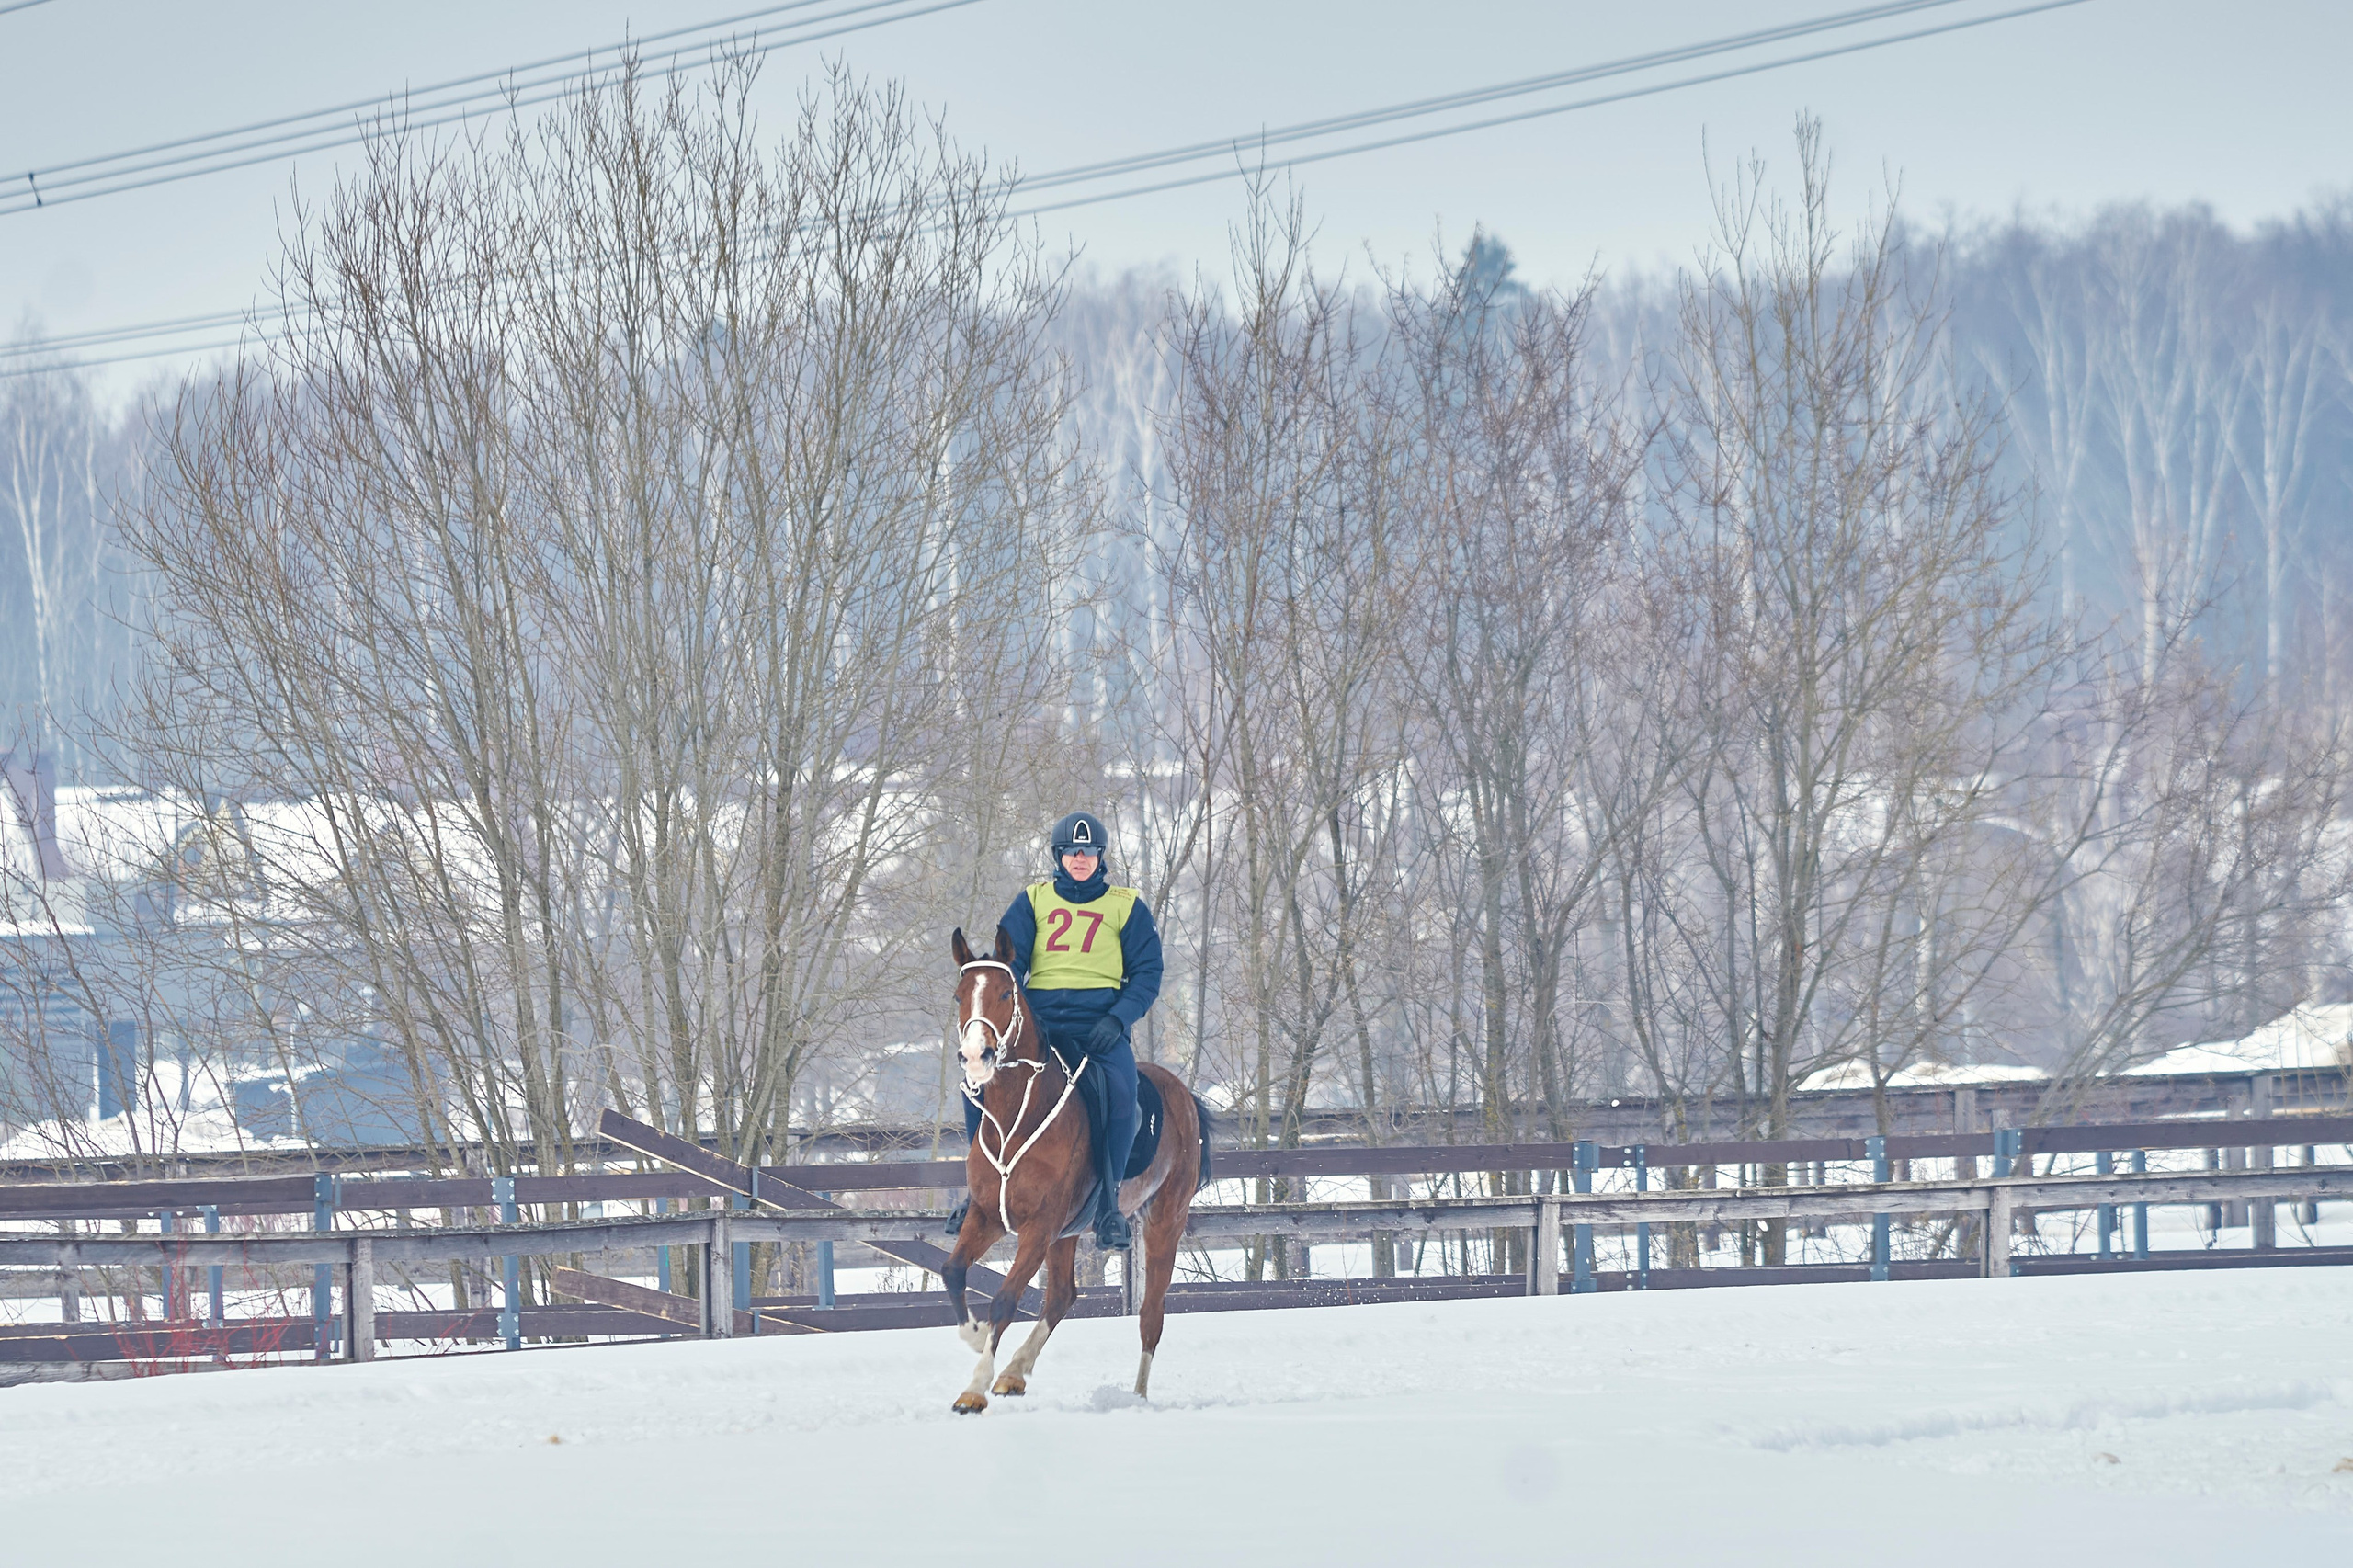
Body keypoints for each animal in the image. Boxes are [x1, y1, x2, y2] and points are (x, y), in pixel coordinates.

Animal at [941, 923, 1211, 1414]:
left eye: (1006, 992)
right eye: (960, 995)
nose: (975, 1056)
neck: (1014, 1117)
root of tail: (1183, 1095)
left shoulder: (1039, 1226)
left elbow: (1005, 1299)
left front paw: (975, 1387)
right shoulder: (987, 1216)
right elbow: (952, 1271)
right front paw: (974, 1337)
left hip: (1164, 1220)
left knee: (1150, 1315)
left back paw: (1137, 1395)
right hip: (1068, 1233)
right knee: (1063, 1295)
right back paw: (1015, 1372)